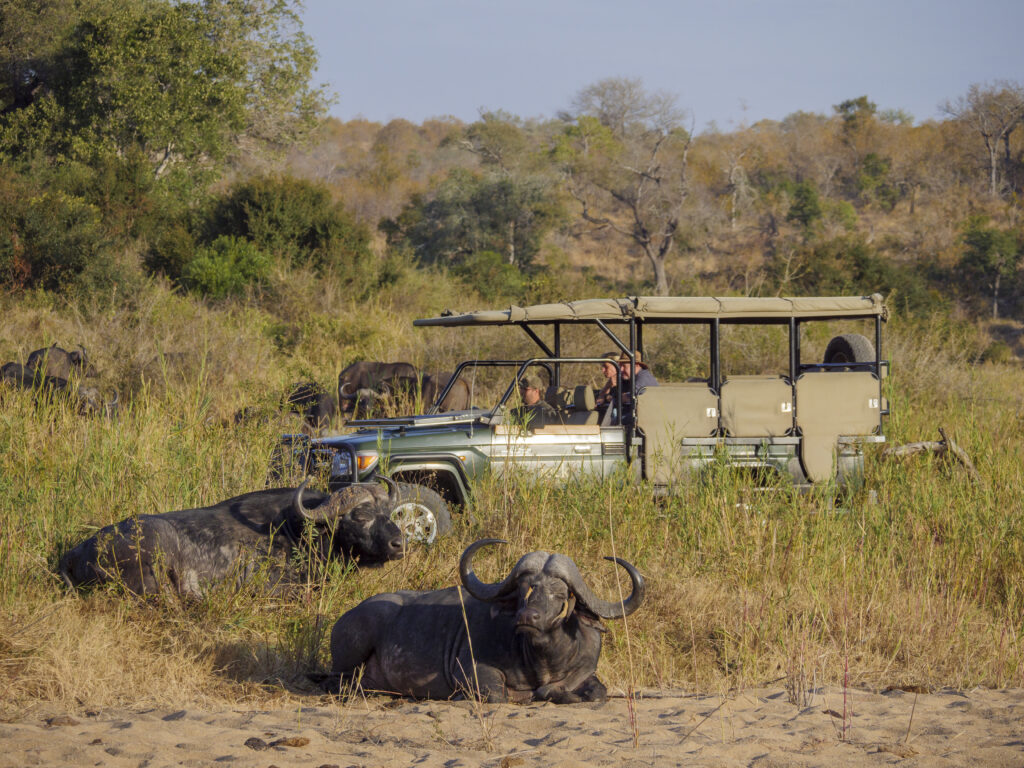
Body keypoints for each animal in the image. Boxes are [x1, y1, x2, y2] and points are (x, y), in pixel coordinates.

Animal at [325, 538, 645, 703]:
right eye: (524, 588)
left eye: (559, 594)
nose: (528, 616)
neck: (543, 660)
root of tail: (348, 614)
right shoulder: (472, 671)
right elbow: (500, 696)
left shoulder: (586, 672)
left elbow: (598, 693)